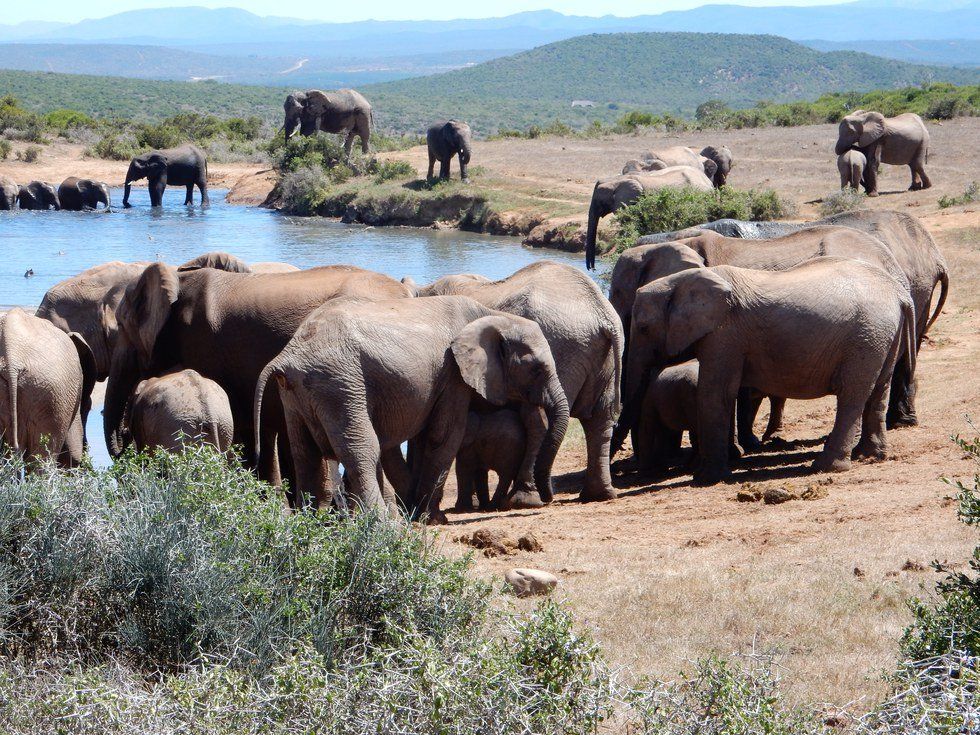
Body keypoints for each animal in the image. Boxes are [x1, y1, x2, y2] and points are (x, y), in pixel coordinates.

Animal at [254, 295, 569, 521]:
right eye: (537, 369)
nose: (547, 500)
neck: (493, 315)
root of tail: (288, 355)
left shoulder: (437, 380)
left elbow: (418, 438)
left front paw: (415, 510)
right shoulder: (453, 374)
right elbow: (444, 435)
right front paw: (432, 517)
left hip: (297, 393)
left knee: (304, 452)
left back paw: (310, 526)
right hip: (339, 382)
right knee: (361, 449)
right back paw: (383, 527)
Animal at [415, 260, 623, 504]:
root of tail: (602, 312)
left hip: (561, 347)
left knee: (539, 421)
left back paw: (524, 498)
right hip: (601, 358)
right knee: (600, 420)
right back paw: (598, 495)